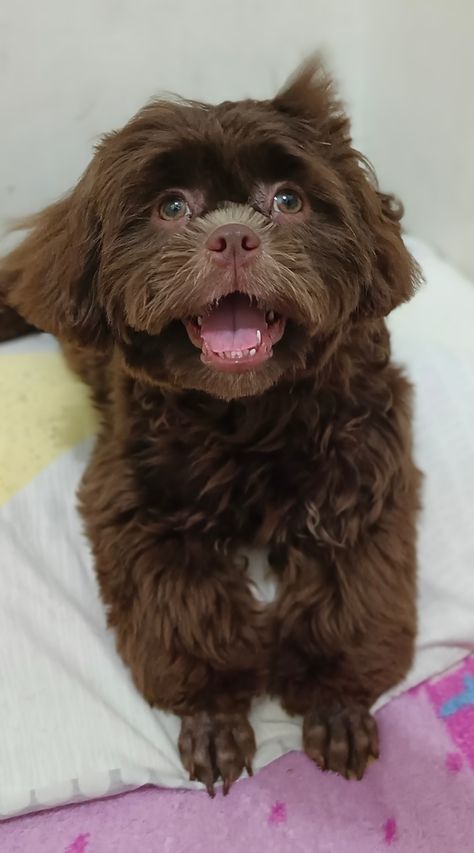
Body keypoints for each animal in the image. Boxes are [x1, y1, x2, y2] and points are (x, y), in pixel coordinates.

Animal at [0, 61, 422, 800]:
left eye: (288, 200)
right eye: (172, 208)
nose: (232, 238)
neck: (248, 414)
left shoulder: (365, 480)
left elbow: (349, 601)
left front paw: (336, 703)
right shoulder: (140, 506)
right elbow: (187, 611)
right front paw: (215, 715)